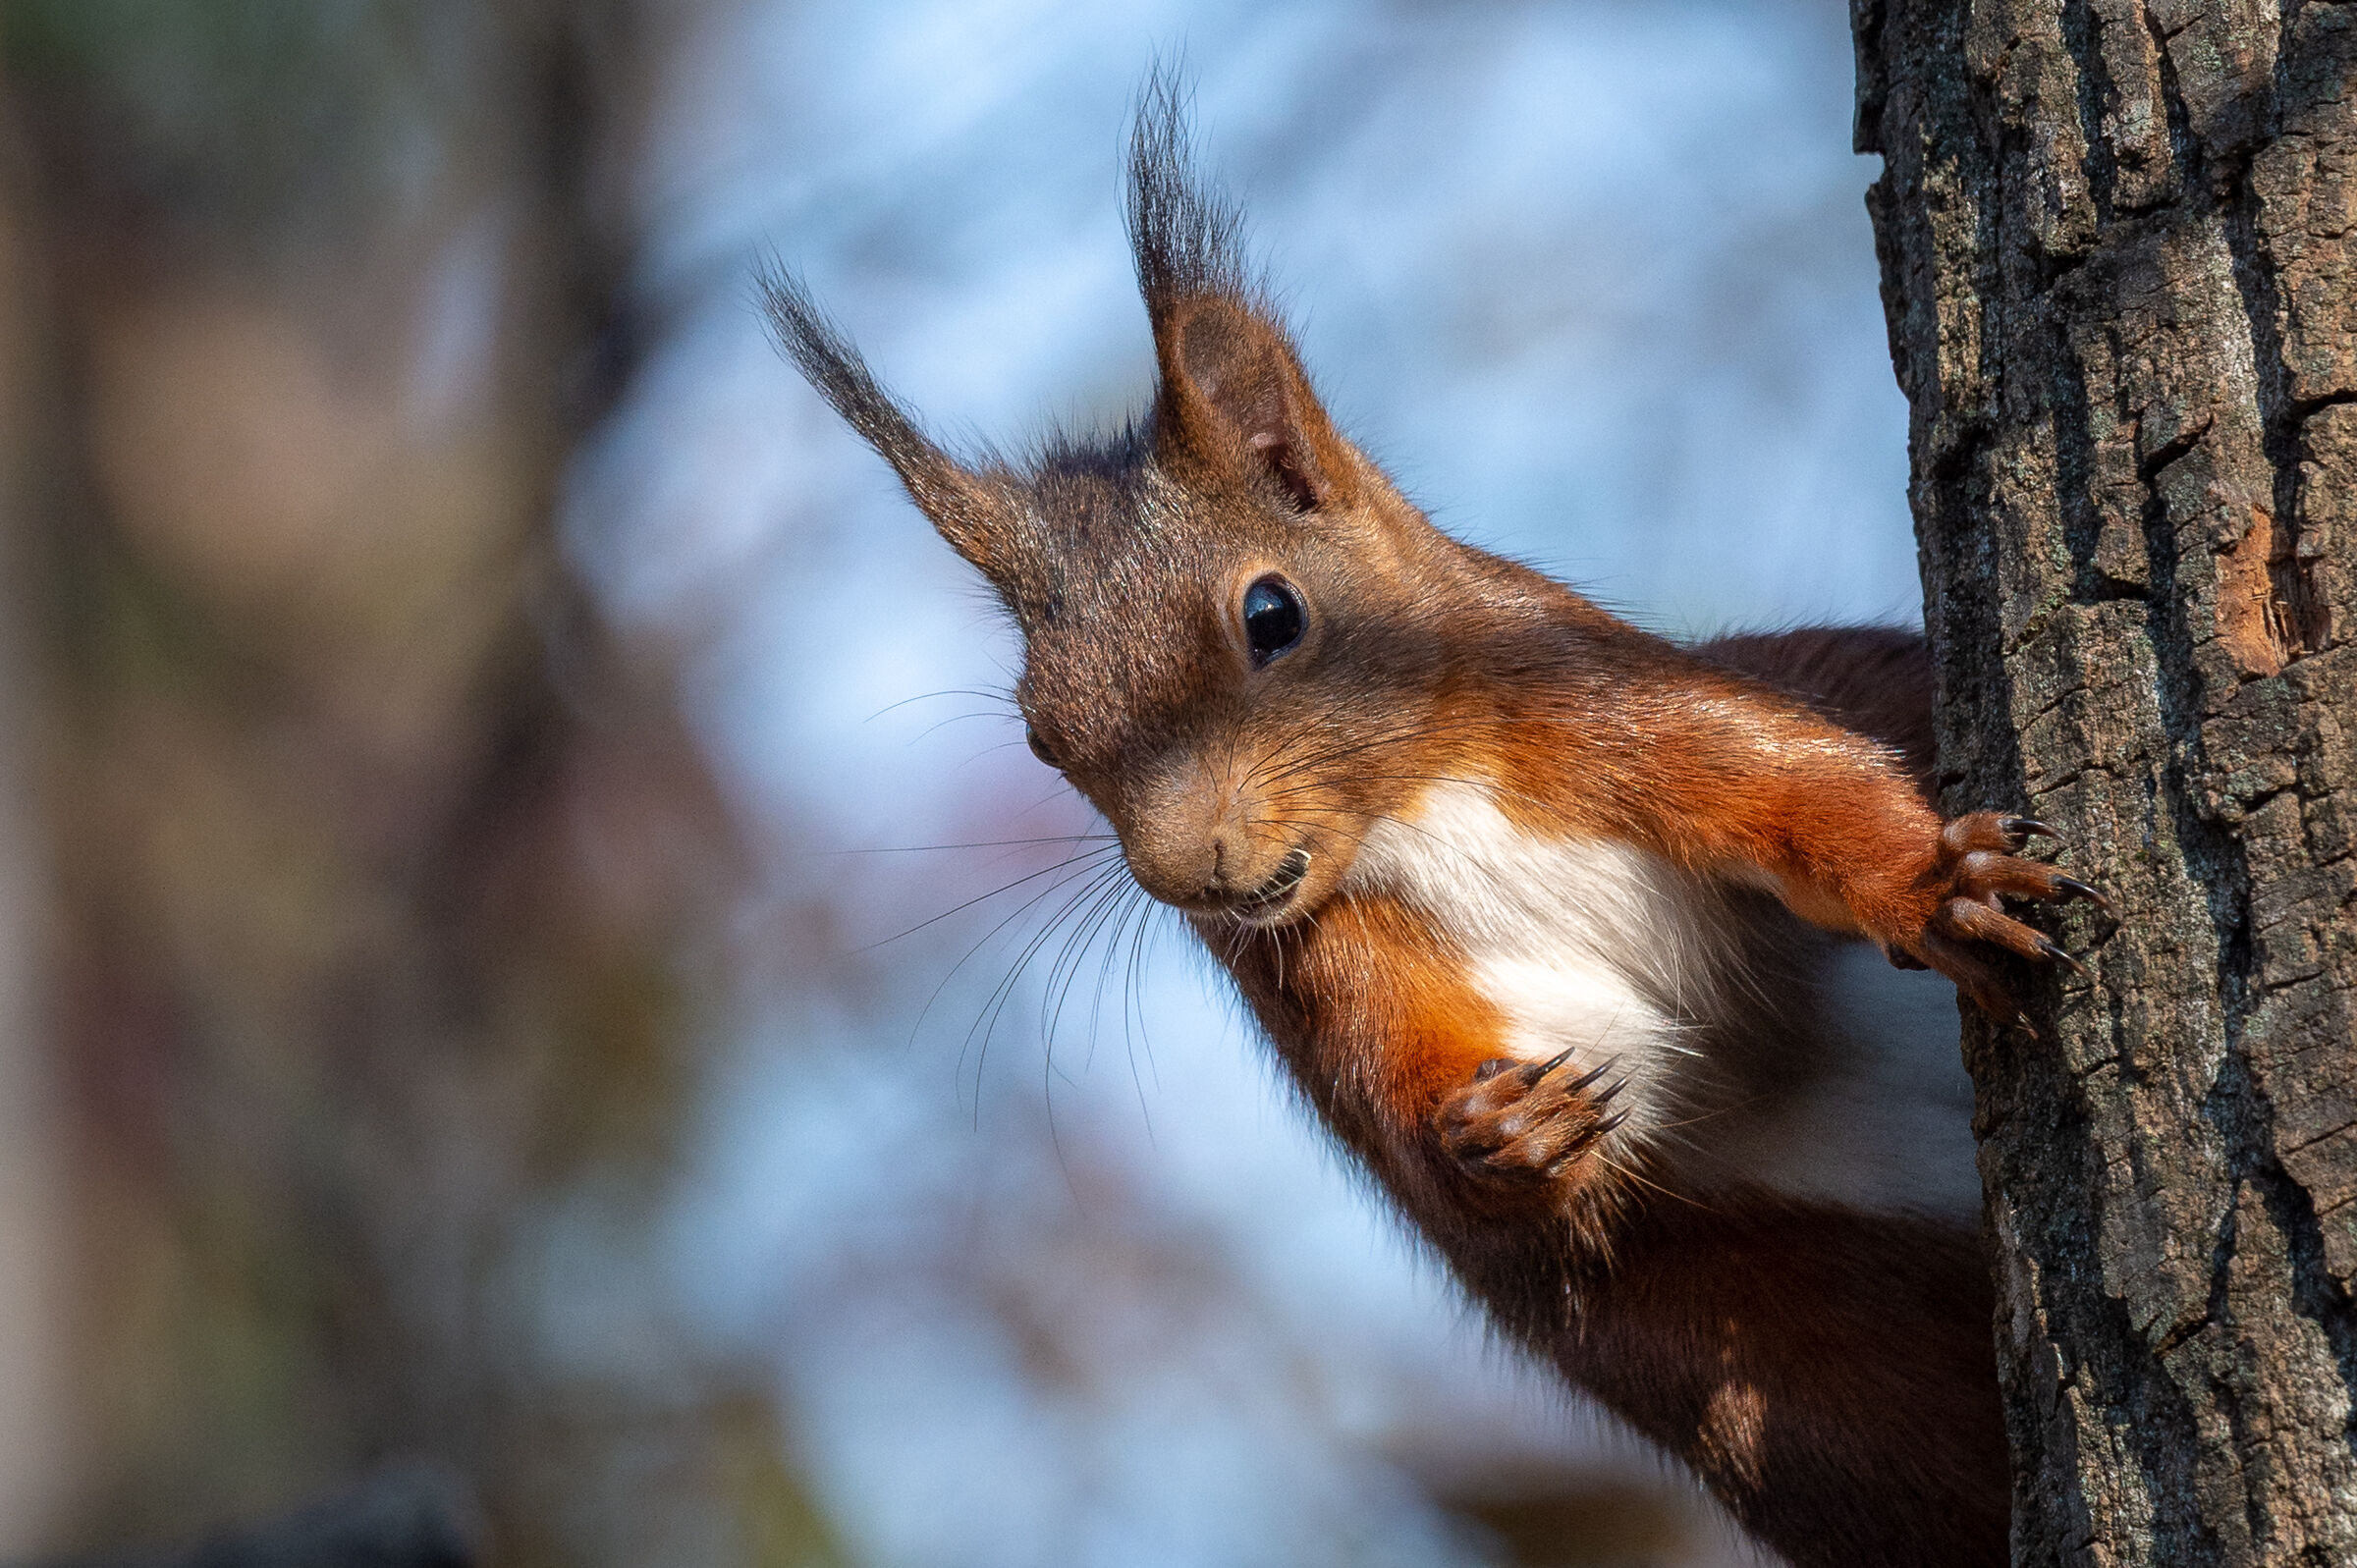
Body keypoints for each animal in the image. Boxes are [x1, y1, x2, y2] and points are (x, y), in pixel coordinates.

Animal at [765, 84, 2105, 1568]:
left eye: (1272, 614)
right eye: (1040, 737)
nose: (1190, 876)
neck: (1415, 813)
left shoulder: (1612, 712)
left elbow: (1803, 786)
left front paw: (1931, 882)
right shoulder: (1325, 963)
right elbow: (1403, 1098)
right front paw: (1491, 1137)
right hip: (1817, 1374)